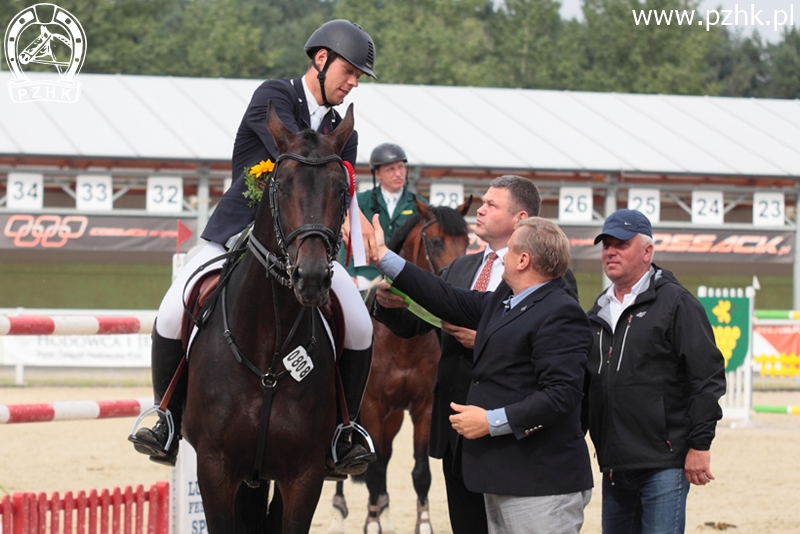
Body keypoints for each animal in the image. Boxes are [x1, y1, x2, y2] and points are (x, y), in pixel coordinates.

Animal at [328, 199, 472, 534]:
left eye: (467, 241)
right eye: (436, 241)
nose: (451, 282)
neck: (400, 342)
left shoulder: (423, 407)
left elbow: (420, 472)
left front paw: (422, 522)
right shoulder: (372, 406)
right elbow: (375, 469)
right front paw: (371, 523)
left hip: (393, 417)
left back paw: (384, 510)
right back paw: (341, 508)